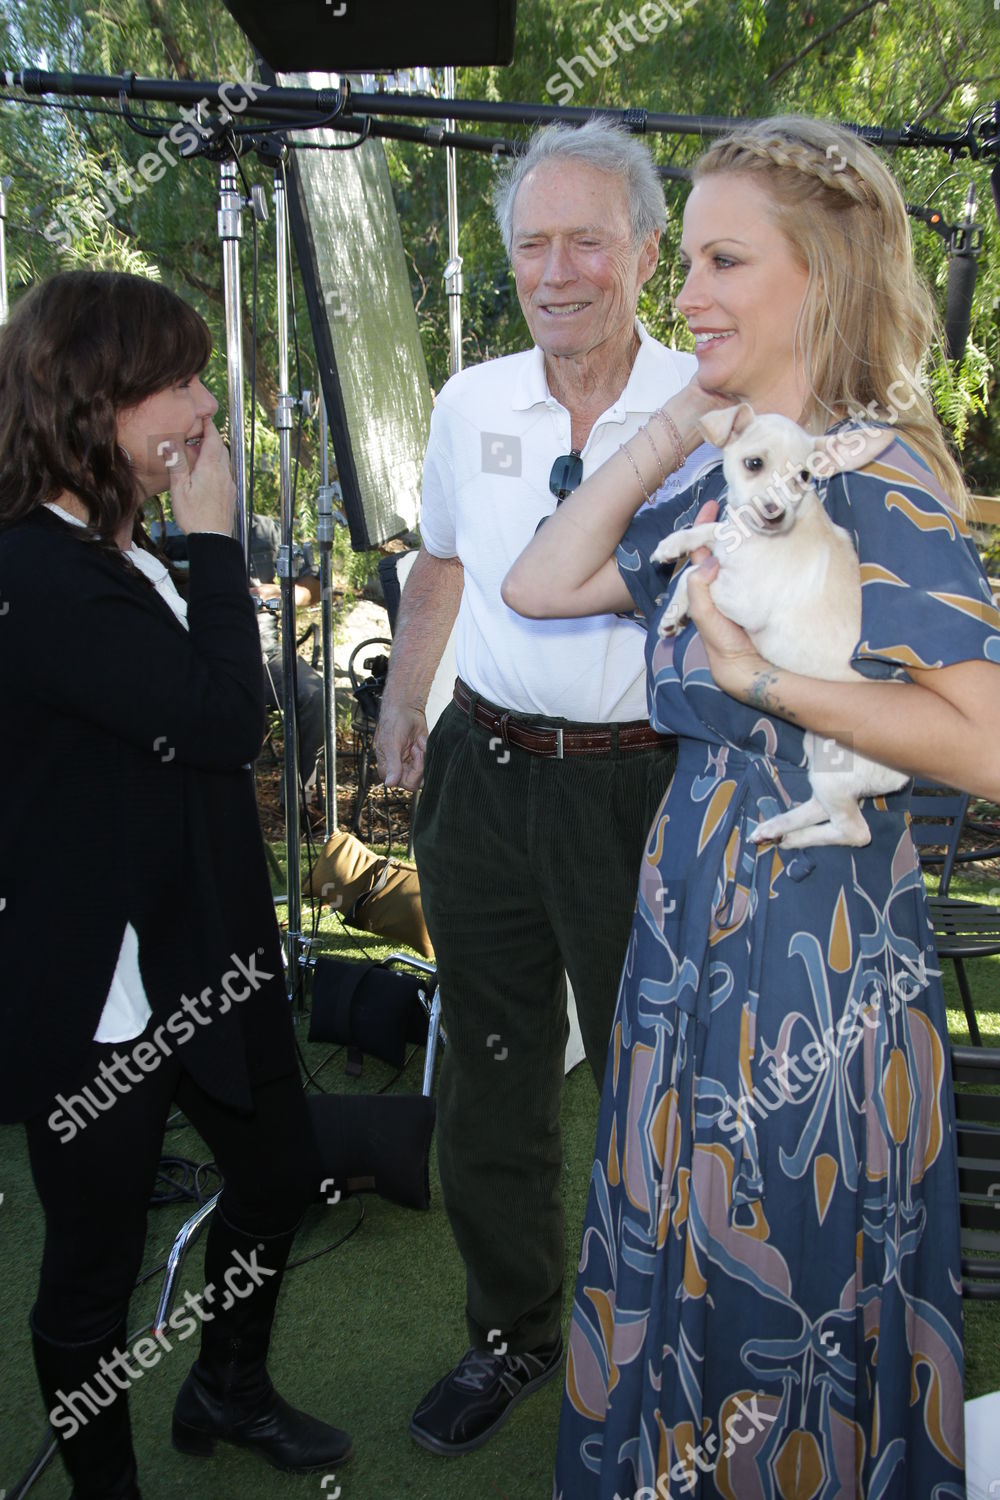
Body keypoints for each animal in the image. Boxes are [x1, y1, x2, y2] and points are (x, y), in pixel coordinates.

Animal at [653, 399, 911, 852]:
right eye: (754, 464)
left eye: (804, 478)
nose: (774, 514)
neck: (753, 540)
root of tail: (906, 774)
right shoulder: (727, 537)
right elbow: (713, 529)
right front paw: (672, 546)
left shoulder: (743, 600)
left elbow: (693, 576)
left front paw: (675, 611)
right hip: (819, 748)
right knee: (825, 808)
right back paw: (777, 827)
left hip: (836, 768)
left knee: (855, 830)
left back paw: (792, 838)